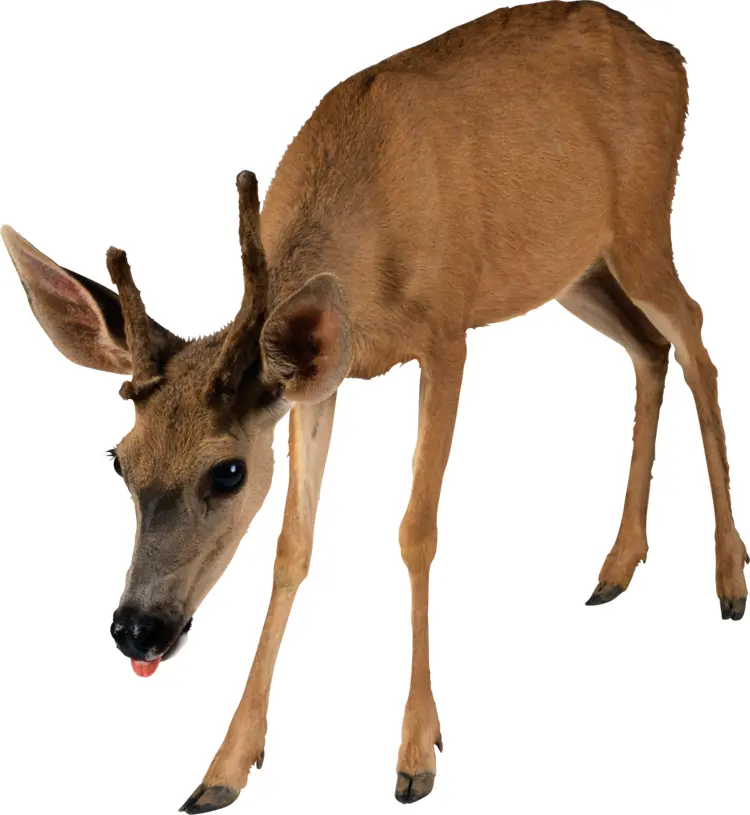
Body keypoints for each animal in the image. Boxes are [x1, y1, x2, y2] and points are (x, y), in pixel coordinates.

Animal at [2, 1, 746, 812]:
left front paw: (417, 752)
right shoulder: (320, 384)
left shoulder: (447, 332)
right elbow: (292, 546)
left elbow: (416, 530)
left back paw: (728, 577)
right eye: (118, 462)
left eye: (227, 472)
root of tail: (670, 55)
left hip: (643, 223)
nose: (138, 630)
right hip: (574, 267)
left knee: (697, 335)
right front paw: (224, 765)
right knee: (650, 348)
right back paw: (617, 564)